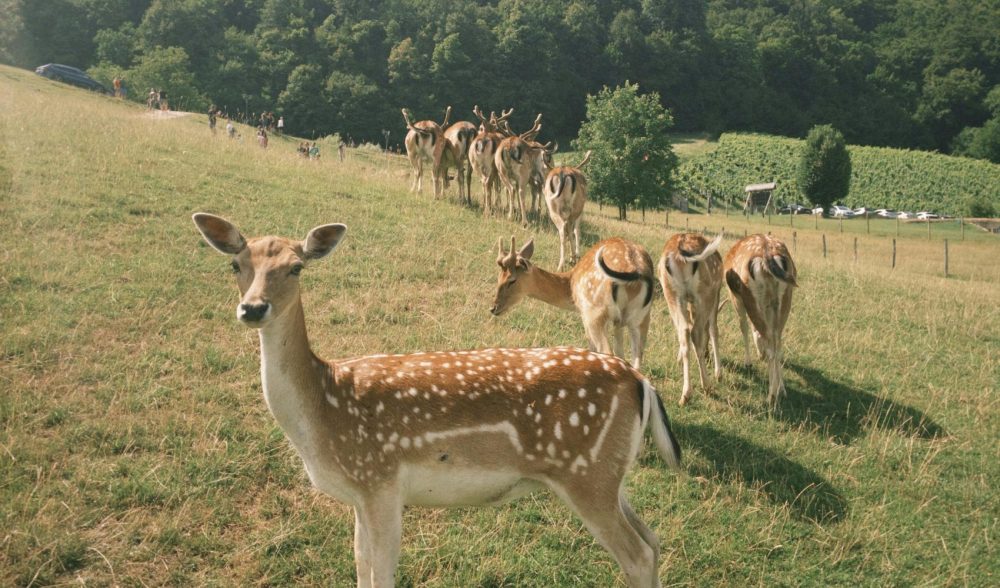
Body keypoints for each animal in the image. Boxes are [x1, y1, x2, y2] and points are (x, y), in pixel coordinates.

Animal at [491, 236, 655, 370]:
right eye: (499, 277)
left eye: (512, 280)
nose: (493, 308)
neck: (570, 285)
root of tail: (637, 271)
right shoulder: (617, 322)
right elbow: (620, 353)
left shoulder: (585, 314)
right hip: (641, 318)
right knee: (636, 362)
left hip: (595, 312)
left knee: (607, 352)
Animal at [657, 233, 724, 406]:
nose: (707, 355)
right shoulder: (716, 292)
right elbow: (713, 329)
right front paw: (718, 373)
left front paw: (679, 359)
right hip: (705, 293)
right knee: (696, 332)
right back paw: (706, 385)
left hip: (671, 293)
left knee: (684, 330)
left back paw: (685, 395)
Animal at [722, 233, 797, 408]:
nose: (760, 355)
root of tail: (768, 256)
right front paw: (782, 387)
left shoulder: (735, 297)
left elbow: (743, 326)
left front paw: (748, 362)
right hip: (785, 298)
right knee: (777, 341)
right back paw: (780, 391)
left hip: (751, 296)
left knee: (769, 342)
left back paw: (771, 396)